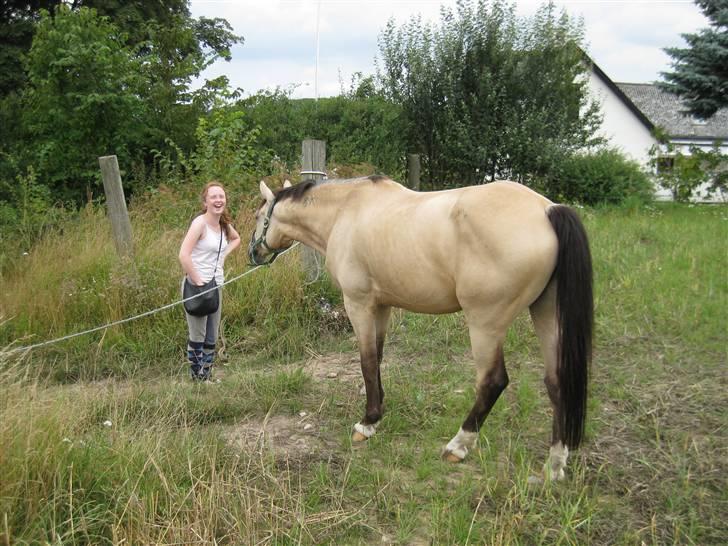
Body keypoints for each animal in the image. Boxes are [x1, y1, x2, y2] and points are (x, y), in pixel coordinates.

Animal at [249, 176, 592, 478]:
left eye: (257, 216)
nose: (254, 253)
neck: (345, 211)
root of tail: (547, 210)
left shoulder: (358, 304)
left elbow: (366, 360)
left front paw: (367, 423)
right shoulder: (382, 306)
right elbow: (377, 358)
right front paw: (378, 406)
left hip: (485, 324)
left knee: (492, 381)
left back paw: (458, 445)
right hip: (546, 315)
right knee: (557, 383)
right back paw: (555, 464)